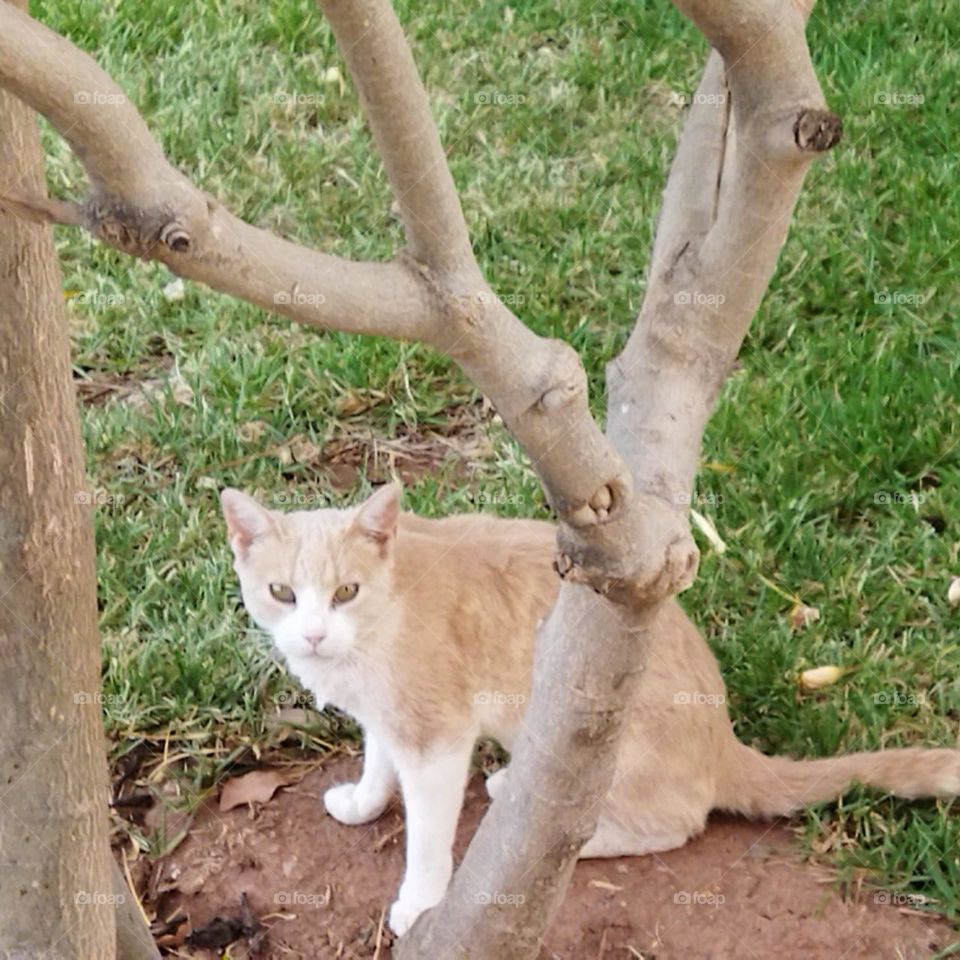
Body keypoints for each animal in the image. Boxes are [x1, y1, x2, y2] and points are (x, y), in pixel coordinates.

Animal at [219, 484, 960, 932]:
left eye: (345, 591)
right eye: (282, 593)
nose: (314, 634)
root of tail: (724, 739)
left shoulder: (438, 735)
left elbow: (426, 834)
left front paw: (421, 901)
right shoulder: (388, 713)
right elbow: (378, 760)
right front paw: (365, 802)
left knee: (670, 823)